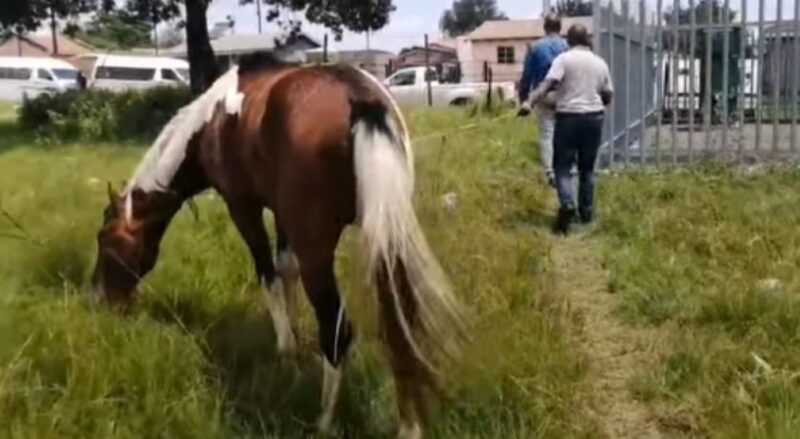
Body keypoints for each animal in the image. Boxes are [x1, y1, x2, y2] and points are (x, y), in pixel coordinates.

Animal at [90, 54, 466, 438]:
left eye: (105, 241)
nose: (99, 297)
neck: (210, 122)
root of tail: (360, 101)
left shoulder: (243, 207)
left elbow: (267, 273)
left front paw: (286, 351)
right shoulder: (282, 213)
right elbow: (286, 269)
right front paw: (296, 347)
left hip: (318, 247)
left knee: (337, 330)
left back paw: (324, 421)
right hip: (387, 234)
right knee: (399, 324)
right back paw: (409, 425)